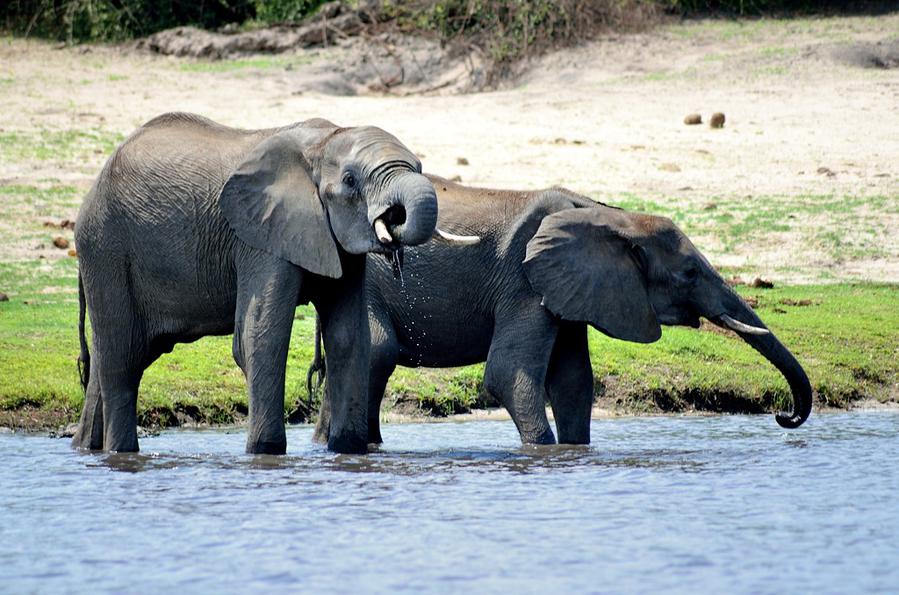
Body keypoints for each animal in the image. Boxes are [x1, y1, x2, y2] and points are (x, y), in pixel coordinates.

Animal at [73, 113, 474, 456]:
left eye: (419, 168)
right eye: (350, 181)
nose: (394, 216)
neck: (325, 141)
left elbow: (349, 338)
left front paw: (347, 450)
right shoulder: (259, 237)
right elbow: (261, 336)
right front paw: (265, 451)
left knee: (111, 359)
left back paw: (86, 448)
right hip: (106, 248)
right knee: (122, 360)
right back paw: (121, 452)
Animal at [312, 177, 812, 448]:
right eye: (689, 273)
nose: (783, 416)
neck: (610, 216)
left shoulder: (570, 289)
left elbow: (574, 382)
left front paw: (574, 451)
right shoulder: (523, 280)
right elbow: (509, 374)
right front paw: (543, 450)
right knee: (377, 354)